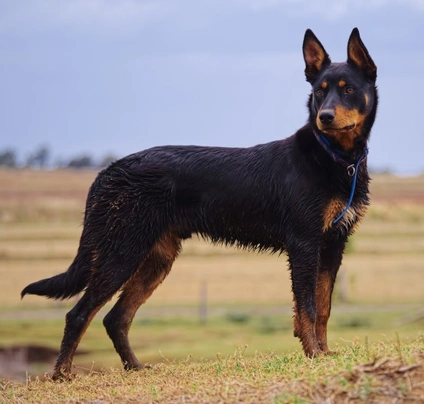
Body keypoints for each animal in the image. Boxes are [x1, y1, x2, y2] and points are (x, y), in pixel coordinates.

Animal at [21, 26, 378, 380]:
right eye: (319, 91)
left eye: (347, 90)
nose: (325, 117)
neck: (334, 157)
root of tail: (107, 172)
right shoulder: (304, 244)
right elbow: (308, 307)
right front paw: (313, 353)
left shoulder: (332, 245)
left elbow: (324, 306)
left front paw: (325, 353)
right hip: (121, 253)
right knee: (79, 313)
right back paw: (62, 373)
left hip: (155, 259)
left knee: (116, 317)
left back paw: (135, 367)